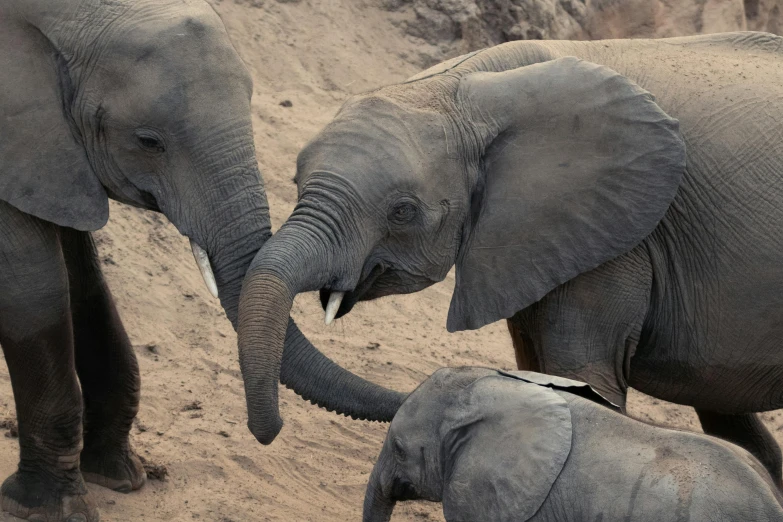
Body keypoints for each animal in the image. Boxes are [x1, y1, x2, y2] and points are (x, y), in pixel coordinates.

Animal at [0, 2, 404, 516]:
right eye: (148, 141)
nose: (269, 431)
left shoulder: (53, 157)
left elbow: (84, 280)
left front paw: (119, 478)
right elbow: (35, 288)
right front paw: (43, 509)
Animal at [237, 30, 783, 480]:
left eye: (403, 211)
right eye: (295, 181)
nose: (274, 429)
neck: (467, 88)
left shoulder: (621, 231)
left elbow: (581, 373)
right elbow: (537, 358)